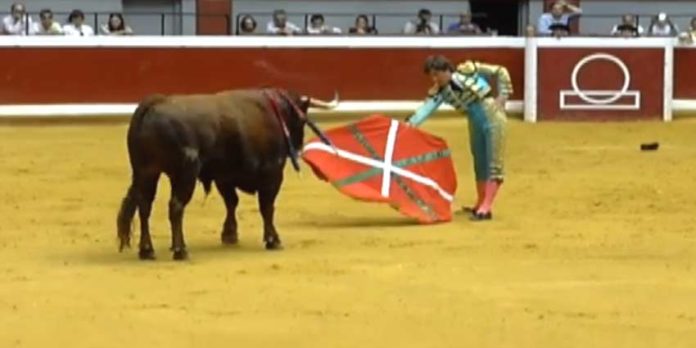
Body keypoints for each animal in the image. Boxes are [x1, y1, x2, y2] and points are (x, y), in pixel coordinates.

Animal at [115, 88, 338, 260]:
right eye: (300, 120)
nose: (298, 147)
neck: (275, 112)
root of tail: (155, 102)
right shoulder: (272, 174)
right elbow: (267, 207)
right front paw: (273, 240)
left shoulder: (224, 176)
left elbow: (232, 202)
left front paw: (229, 235)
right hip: (185, 173)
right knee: (175, 207)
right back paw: (180, 250)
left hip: (146, 171)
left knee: (144, 206)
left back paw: (147, 250)